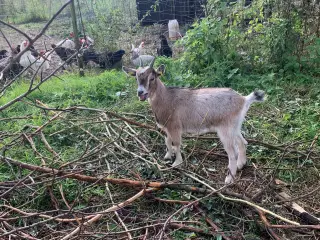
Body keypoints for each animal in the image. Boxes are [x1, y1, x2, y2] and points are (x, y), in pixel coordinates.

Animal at [122, 59, 264, 184]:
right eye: (136, 78)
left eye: (152, 78)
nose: (140, 93)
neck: (166, 98)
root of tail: (243, 99)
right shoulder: (167, 127)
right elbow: (167, 140)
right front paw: (168, 155)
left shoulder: (175, 126)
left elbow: (176, 143)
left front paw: (177, 162)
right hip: (235, 126)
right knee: (242, 142)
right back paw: (241, 165)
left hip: (226, 129)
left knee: (232, 153)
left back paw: (229, 179)